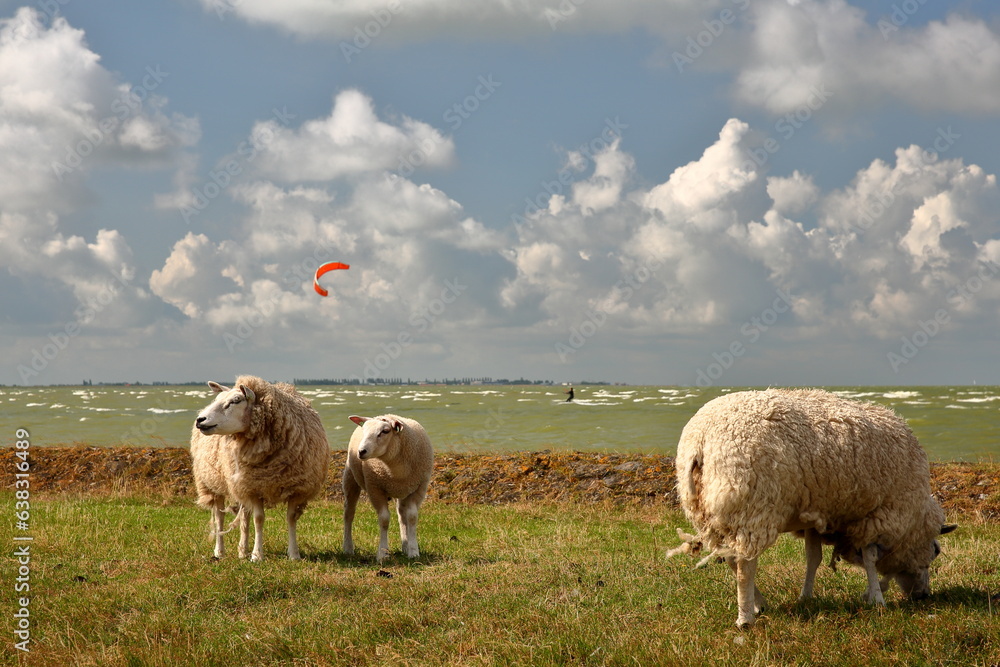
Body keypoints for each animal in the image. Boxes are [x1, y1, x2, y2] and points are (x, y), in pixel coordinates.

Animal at [191, 376, 330, 562]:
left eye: (236, 400)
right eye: (218, 399)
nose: (201, 419)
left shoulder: (295, 487)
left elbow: (291, 518)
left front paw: (294, 554)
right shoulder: (254, 487)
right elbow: (259, 519)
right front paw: (257, 555)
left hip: (240, 484)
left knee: (244, 516)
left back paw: (242, 551)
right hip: (212, 482)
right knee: (220, 516)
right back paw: (219, 551)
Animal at [342, 414, 434, 563]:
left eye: (385, 431)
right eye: (364, 430)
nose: (361, 452)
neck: (396, 470)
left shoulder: (419, 488)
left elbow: (412, 517)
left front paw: (413, 551)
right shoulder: (375, 489)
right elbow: (384, 519)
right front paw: (383, 553)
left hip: (403, 490)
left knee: (402, 515)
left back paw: (405, 545)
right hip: (350, 477)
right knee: (349, 514)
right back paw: (348, 547)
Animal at [668, 388, 956, 628]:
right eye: (935, 550)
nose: (923, 596)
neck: (913, 516)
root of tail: (700, 440)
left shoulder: (817, 514)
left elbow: (813, 558)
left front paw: (806, 597)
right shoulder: (877, 514)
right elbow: (871, 559)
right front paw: (876, 598)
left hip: (713, 513)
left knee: (730, 558)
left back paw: (759, 604)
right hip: (750, 507)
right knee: (744, 567)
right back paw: (746, 617)